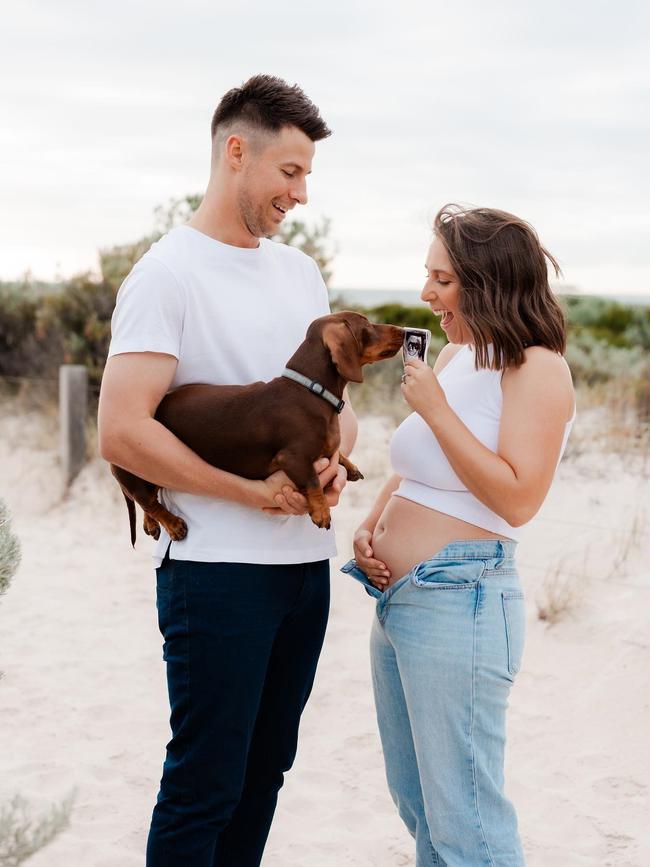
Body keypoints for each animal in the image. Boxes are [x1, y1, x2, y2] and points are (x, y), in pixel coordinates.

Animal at [114, 312, 402, 544]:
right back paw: (173, 524)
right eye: (366, 324)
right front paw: (321, 512)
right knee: (148, 501)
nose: (402, 330)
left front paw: (349, 466)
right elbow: (312, 481)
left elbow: (335, 452)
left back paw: (152, 525)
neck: (311, 391)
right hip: (138, 472)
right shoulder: (293, 458)